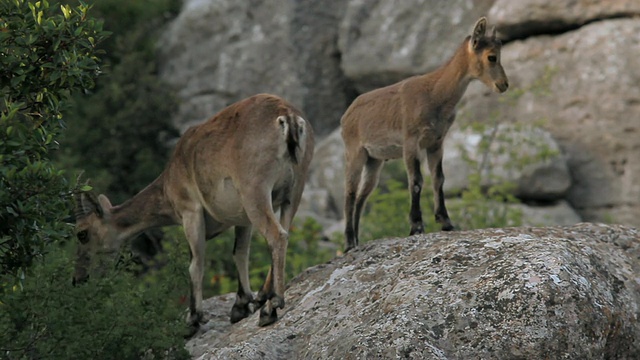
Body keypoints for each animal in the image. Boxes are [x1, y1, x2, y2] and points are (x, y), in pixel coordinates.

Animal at [74, 93, 314, 334]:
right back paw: (265, 297)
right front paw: (241, 305)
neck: (169, 182)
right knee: (284, 231)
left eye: (82, 233)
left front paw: (192, 320)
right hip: (293, 190)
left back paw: (271, 307)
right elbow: (240, 252)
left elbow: (194, 263)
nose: (78, 279)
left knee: (277, 235)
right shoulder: (242, 217)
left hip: (255, 190)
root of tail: (288, 119)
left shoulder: (190, 210)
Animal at [340, 16, 510, 252]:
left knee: (362, 196)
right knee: (349, 192)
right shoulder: (411, 142)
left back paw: (357, 240)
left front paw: (446, 222)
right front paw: (416, 226)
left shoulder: (436, 142)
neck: (435, 94)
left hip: (374, 160)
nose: (503, 84)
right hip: (355, 152)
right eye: (492, 56)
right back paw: (348, 243)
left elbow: (439, 178)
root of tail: (346, 116)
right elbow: (416, 180)